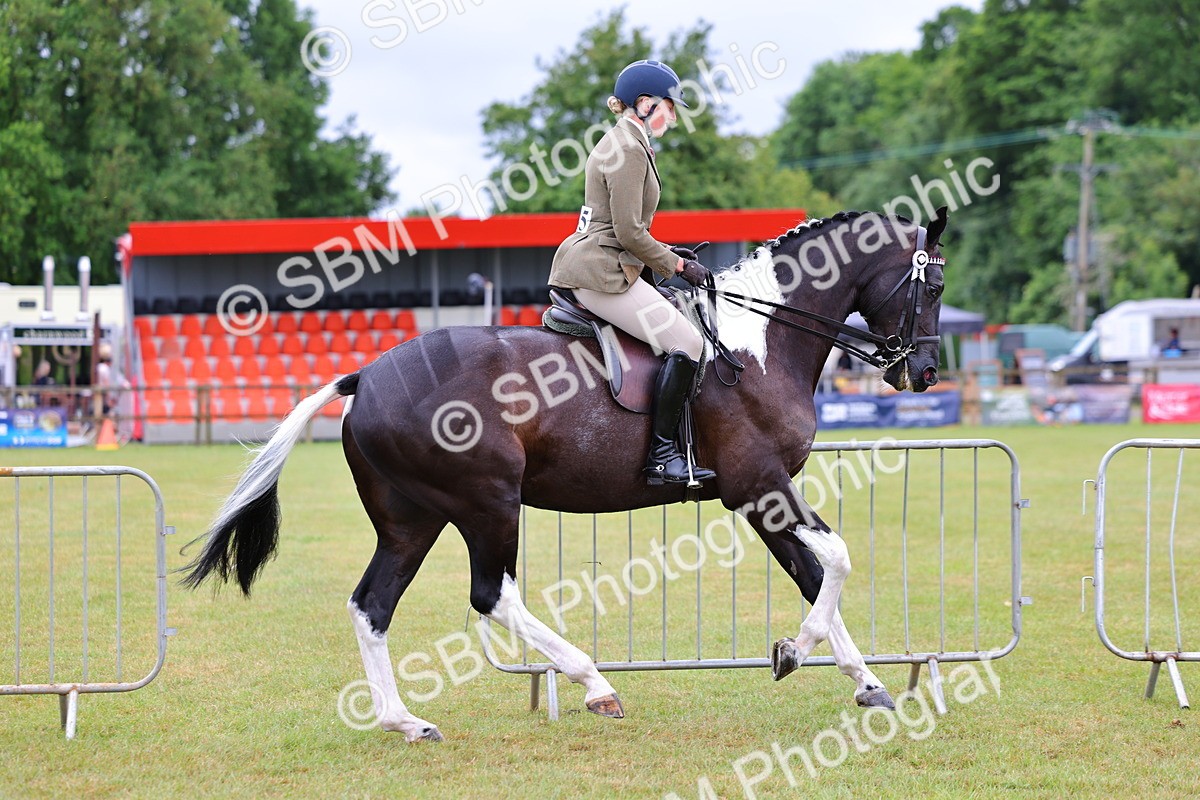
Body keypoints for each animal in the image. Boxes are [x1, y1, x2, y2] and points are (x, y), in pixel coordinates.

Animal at [183, 208, 948, 742]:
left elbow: (816, 574)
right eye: (934, 283)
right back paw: (593, 682)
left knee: (373, 605)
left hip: (412, 518)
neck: (757, 343)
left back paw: (406, 721)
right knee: (492, 594)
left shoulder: (761, 496)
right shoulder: (758, 485)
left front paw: (865, 683)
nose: (924, 372)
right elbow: (837, 560)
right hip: (487, 502)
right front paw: (795, 651)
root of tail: (364, 377)